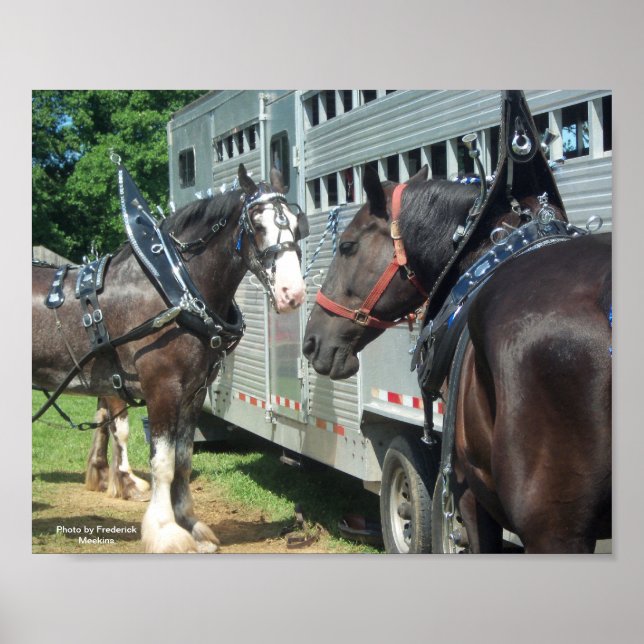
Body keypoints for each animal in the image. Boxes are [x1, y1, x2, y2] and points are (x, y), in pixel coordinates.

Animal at [33, 164, 306, 553]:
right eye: (257, 223)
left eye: (297, 224)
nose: (292, 293)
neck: (175, 290)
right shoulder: (161, 387)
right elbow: (161, 462)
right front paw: (165, 531)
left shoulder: (192, 392)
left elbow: (183, 460)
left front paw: (190, 524)